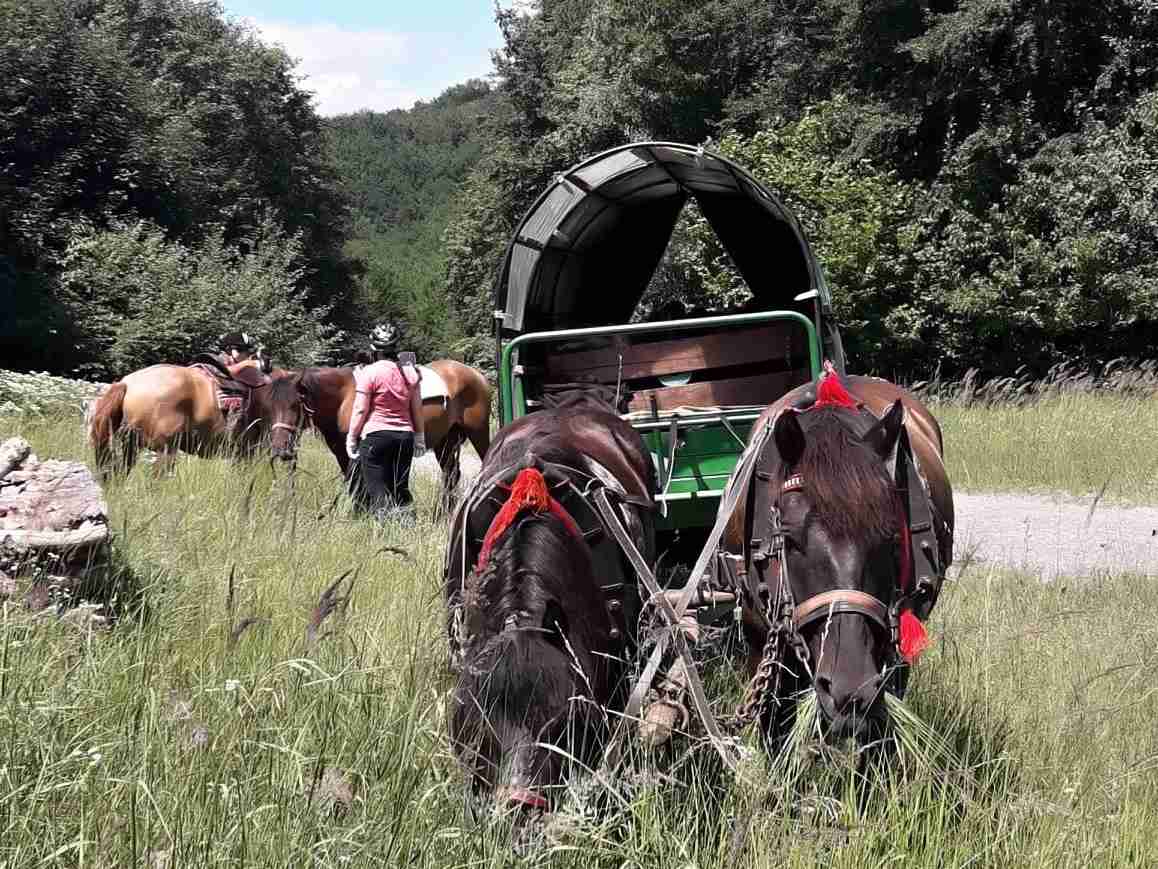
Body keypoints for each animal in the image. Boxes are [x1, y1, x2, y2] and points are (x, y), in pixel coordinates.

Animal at [296, 361, 490, 509]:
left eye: (295, 403)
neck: (344, 396)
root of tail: (477, 375)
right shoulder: (343, 453)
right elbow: (354, 484)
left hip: (478, 432)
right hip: (446, 441)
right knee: (451, 474)